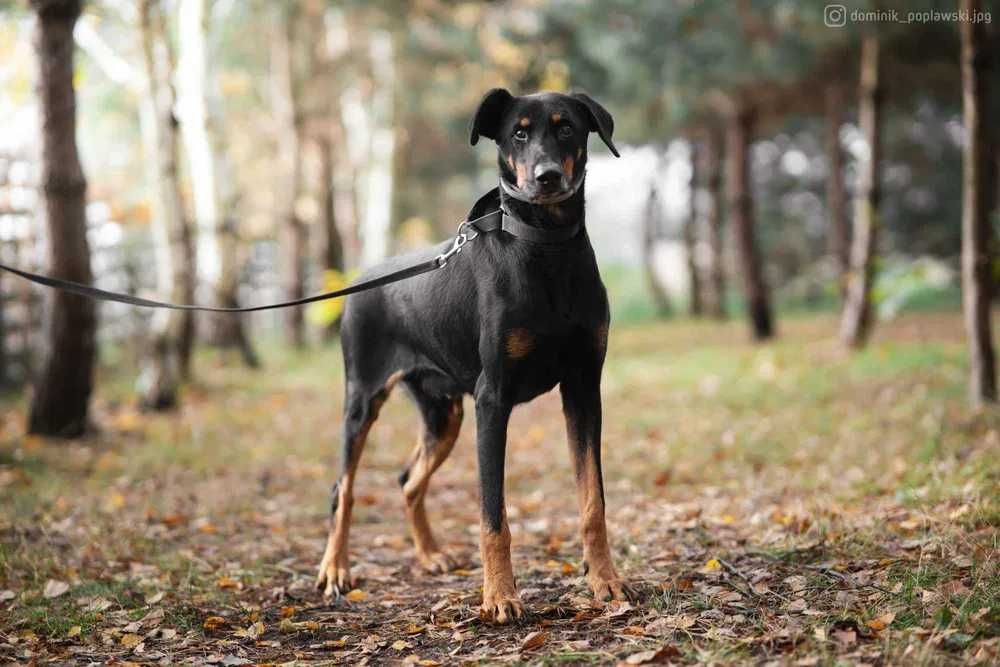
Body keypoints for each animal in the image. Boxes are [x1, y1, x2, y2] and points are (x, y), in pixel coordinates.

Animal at [316, 88, 636, 628]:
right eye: (518, 134)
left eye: (566, 127)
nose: (547, 176)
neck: (545, 249)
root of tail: (363, 280)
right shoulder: (493, 399)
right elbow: (493, 516)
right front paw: (500, 597)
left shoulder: (583, 388)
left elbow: (593, 501)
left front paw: (605, 581)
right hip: (362, 399)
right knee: (344, 488)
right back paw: (336, 570)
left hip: (443, 413)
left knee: (407, 480)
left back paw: (430, 555)